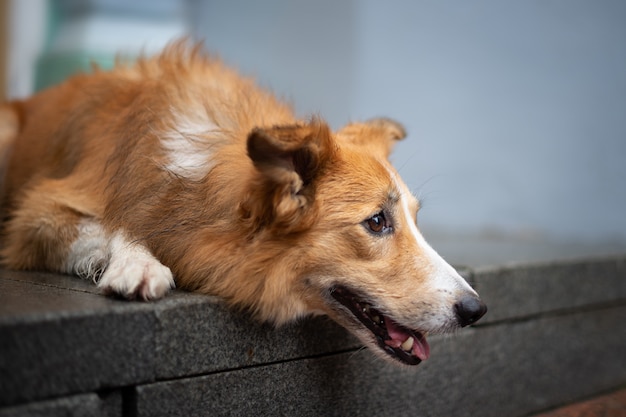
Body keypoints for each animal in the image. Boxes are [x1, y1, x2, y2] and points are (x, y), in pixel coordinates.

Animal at [0, 43, 486, 364]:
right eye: (378, 221)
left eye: (415, 220)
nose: (476, 310)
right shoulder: (37, 213)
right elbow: (114, 225)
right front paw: (139, 264)